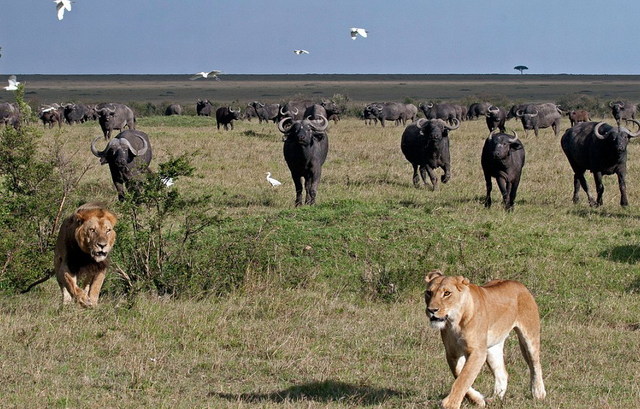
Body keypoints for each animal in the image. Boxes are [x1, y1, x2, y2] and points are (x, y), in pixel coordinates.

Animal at [424, 270, 544, 408]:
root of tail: (519, 284)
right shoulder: (452, 353)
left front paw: (450, 404)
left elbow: (464, 378)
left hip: (530, 337)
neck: (454, 322)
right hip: (492, 348)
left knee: (535, 364)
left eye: (447, 293)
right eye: (429, 292)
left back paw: (538, 393)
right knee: (502, 373)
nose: (431, 310)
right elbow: (458, 374)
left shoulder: (478, 352)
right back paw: (495, 400)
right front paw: (478, 399)